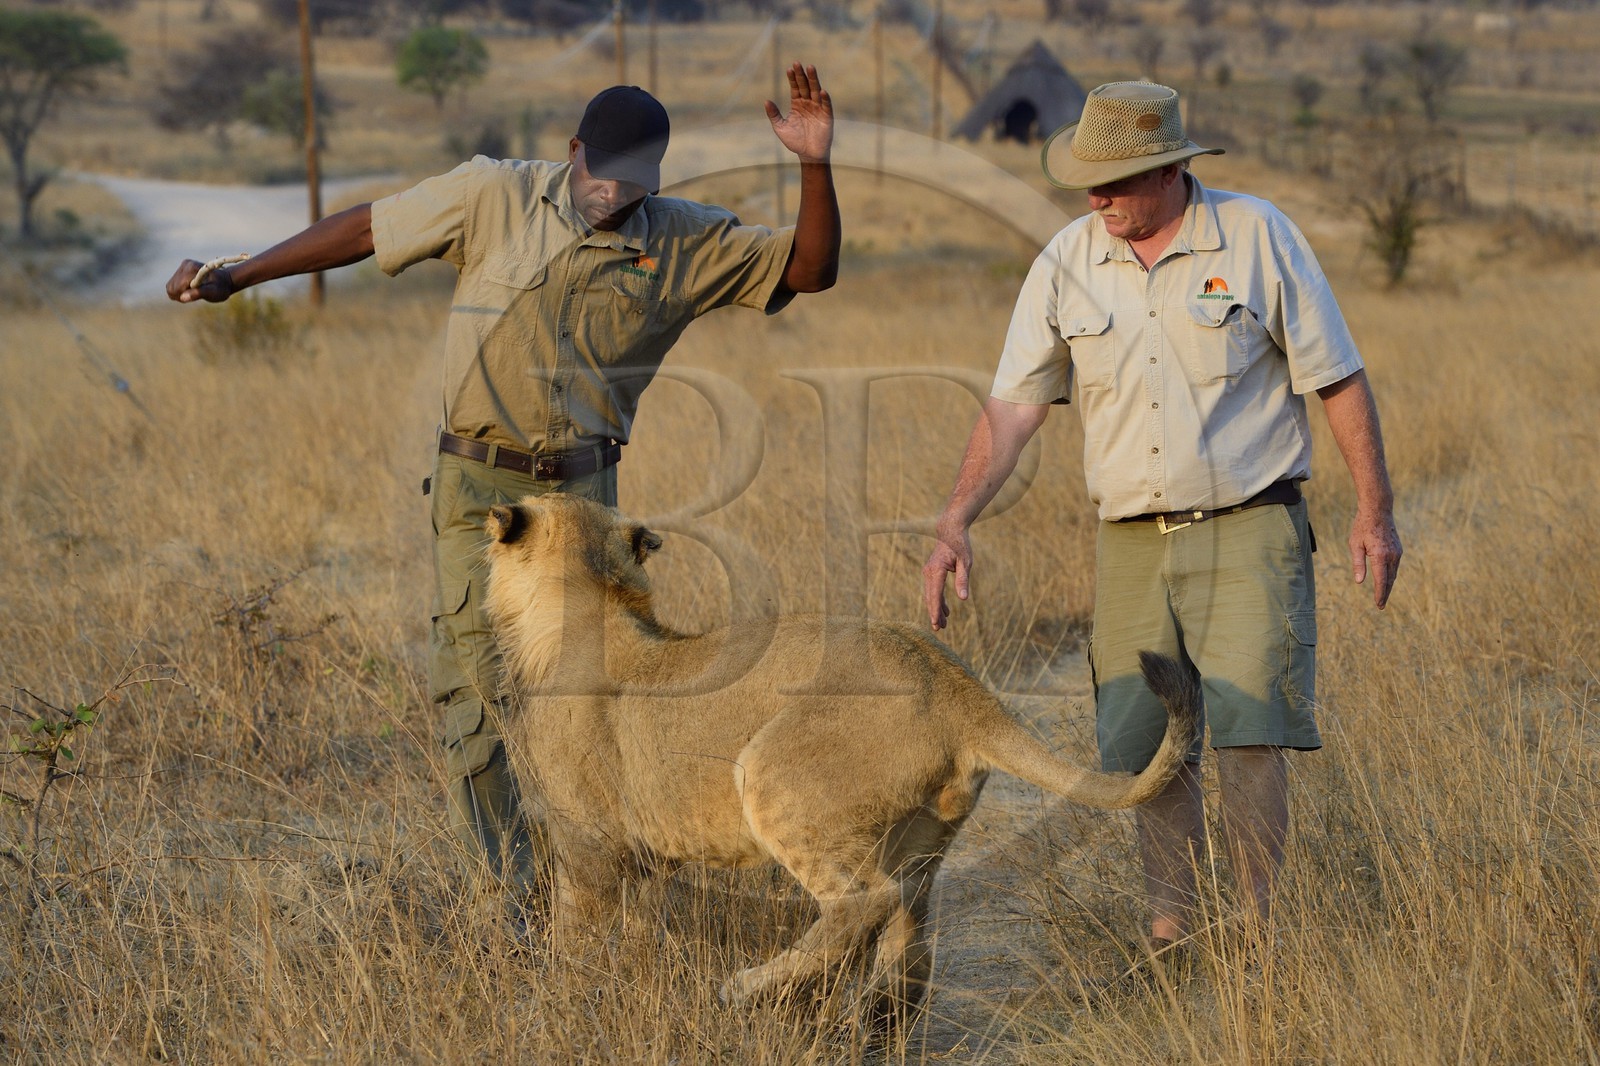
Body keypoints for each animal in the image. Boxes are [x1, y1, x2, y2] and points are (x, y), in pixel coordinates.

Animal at [483, 492, 1199, 1024]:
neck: (589, 601)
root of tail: (956, 686)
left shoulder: (587, 841)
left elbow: (574, 936)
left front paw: (555, 1004)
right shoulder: (642, 854)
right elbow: (636, 933)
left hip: (777, 778)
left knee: (862, 902)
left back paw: (752, 988)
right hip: (922, 835)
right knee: (909, 929)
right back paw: (875, 1021)